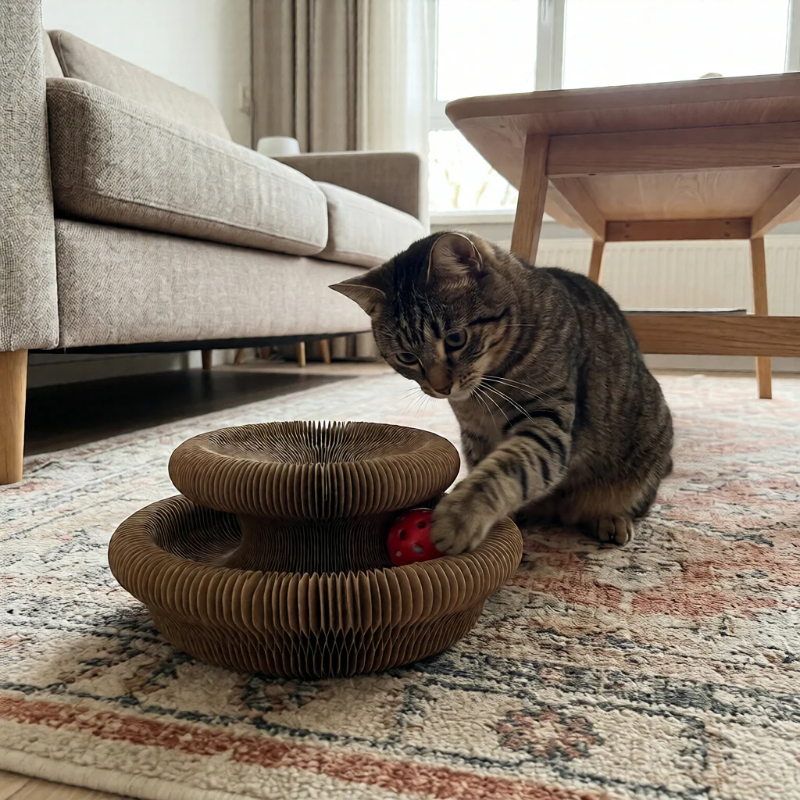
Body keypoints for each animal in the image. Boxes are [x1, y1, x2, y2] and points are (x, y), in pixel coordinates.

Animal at [331, 231, 673, 555]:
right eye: (406, 357)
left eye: (455, 339)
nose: (441, 388)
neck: (482, 393)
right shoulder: (475, 435)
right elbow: (486, 466)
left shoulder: (546, 421)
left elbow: (508, 468)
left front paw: (459, 516)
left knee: (633, 501)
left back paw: (612, 518)